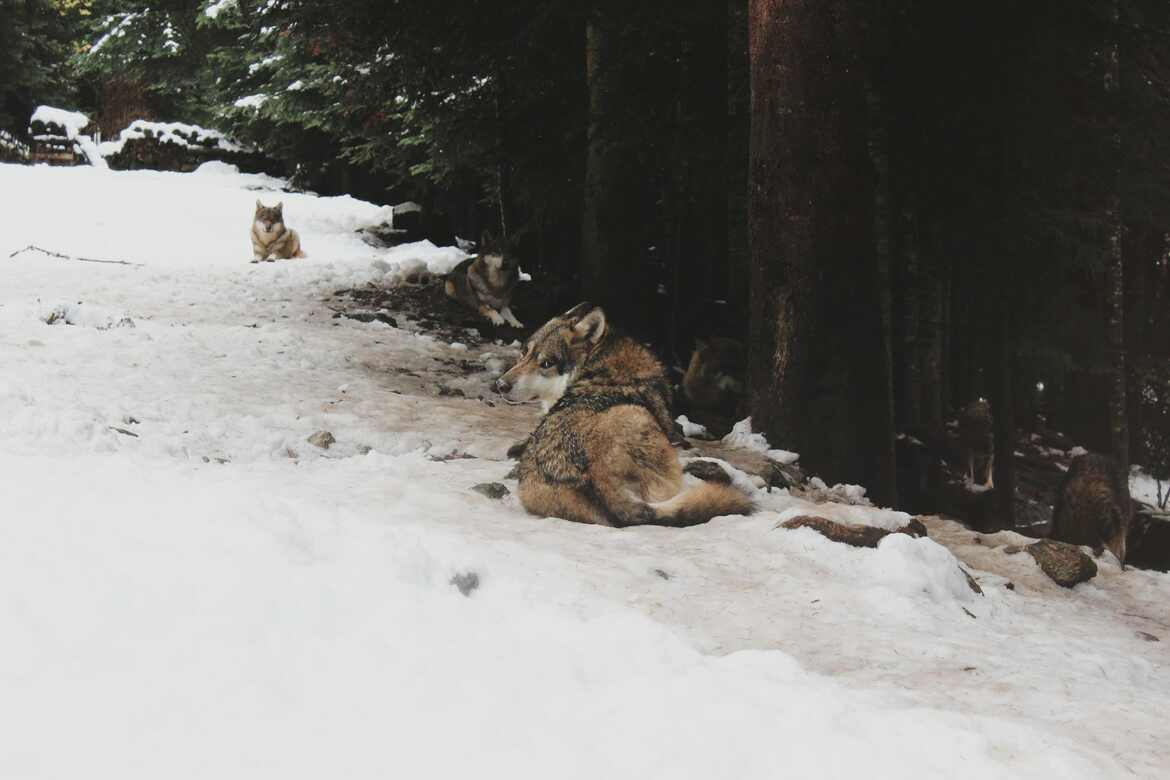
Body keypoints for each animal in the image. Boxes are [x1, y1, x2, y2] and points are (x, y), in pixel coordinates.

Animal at [495, 303, 753, 527]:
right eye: (524, 353)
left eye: (546, 363)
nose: (500, 385)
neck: (599, 365)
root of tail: (598, 482)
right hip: (636, 414)